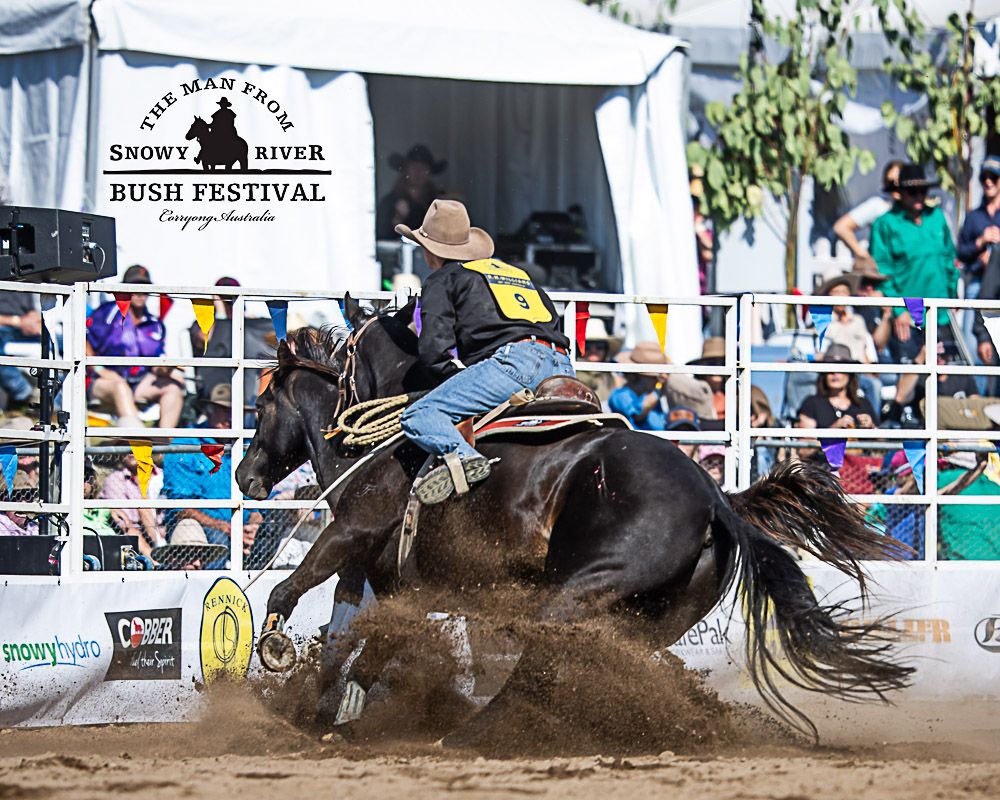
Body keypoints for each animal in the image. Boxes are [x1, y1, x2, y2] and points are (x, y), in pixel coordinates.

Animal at [236, 296, 916, 740]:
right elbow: (356, 647)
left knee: (536, 667)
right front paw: (322, 718)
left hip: (574, 594)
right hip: (646, 616)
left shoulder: (350, 534)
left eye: (261, 404)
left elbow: (289, 591)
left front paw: (273, 651)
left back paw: (476, 733)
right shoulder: (399, 584)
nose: (244, 477)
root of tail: (715, 498)